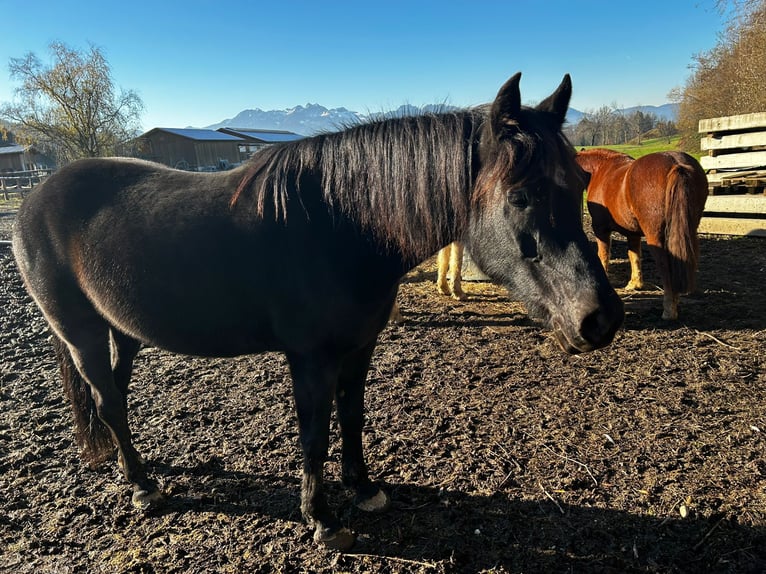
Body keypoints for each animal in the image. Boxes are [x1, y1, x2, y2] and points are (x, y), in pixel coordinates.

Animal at [10, 74, 624, 552]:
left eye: (581, 181)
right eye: (520, 196)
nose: (600, 318)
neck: (341, 225)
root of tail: (35, 198)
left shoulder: (359, 346)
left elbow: (351, 416)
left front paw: (364, 489)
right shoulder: (310, 358)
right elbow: (314, 433)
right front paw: (322, 520)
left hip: (125, 331)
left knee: (114, 397)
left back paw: (131, 469)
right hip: (81, 333)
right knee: (107, 400)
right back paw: (142, 487)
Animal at [580, 148, 712, 322]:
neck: (599, 169)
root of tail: (676, 163)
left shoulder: (601, 229)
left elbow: (603, 255)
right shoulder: (633, 233)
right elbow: (634, 256)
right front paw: (635, 284)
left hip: (655, 237)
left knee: (665, 267)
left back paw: (669, 310)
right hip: (688, 230)